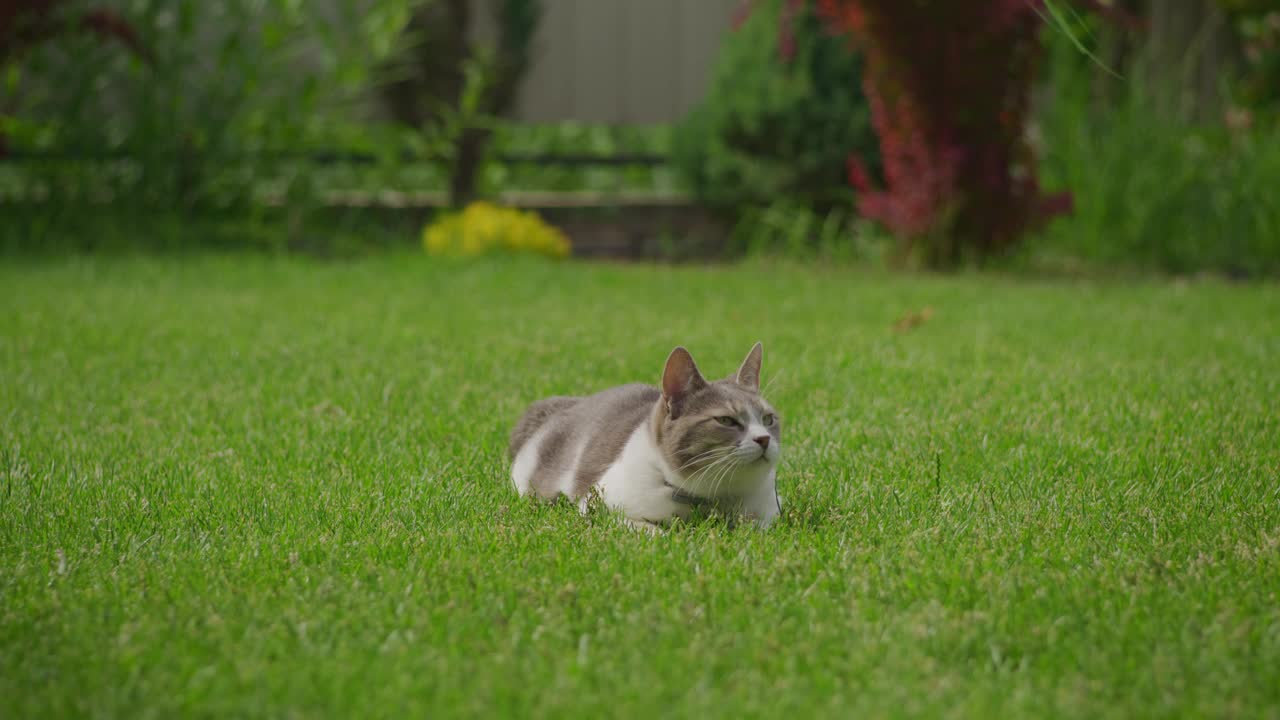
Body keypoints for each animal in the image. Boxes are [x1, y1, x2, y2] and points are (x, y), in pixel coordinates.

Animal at [509, 338, 778, 530]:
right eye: (726, 420)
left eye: (768, 419)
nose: (764, 439)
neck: (711, 499)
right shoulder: (599, 506)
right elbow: (650, 530)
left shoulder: (769, 512)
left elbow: (757, 526)